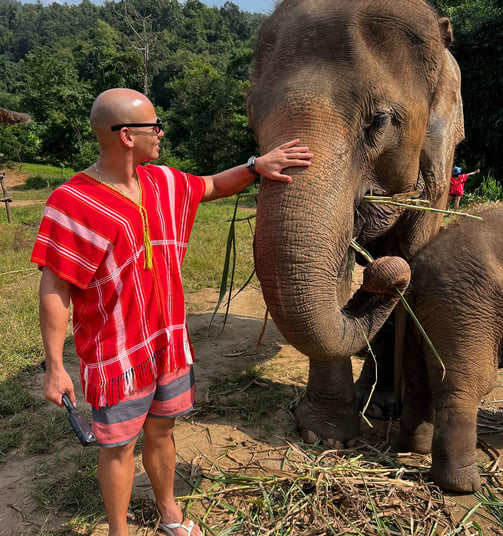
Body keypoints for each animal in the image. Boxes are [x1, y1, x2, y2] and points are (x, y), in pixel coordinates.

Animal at [247, 0, 464, 444]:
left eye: (379, 120)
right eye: (251, 121)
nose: (385, 278)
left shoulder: (439, 164)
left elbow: (416, 254)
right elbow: (337, 266)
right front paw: (326, 436)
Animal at [394, 205, 503, 494]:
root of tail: (414, 271)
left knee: (419, 380)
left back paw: (417, 446)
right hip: (467, 310)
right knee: (466, 388)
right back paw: (463, 486)